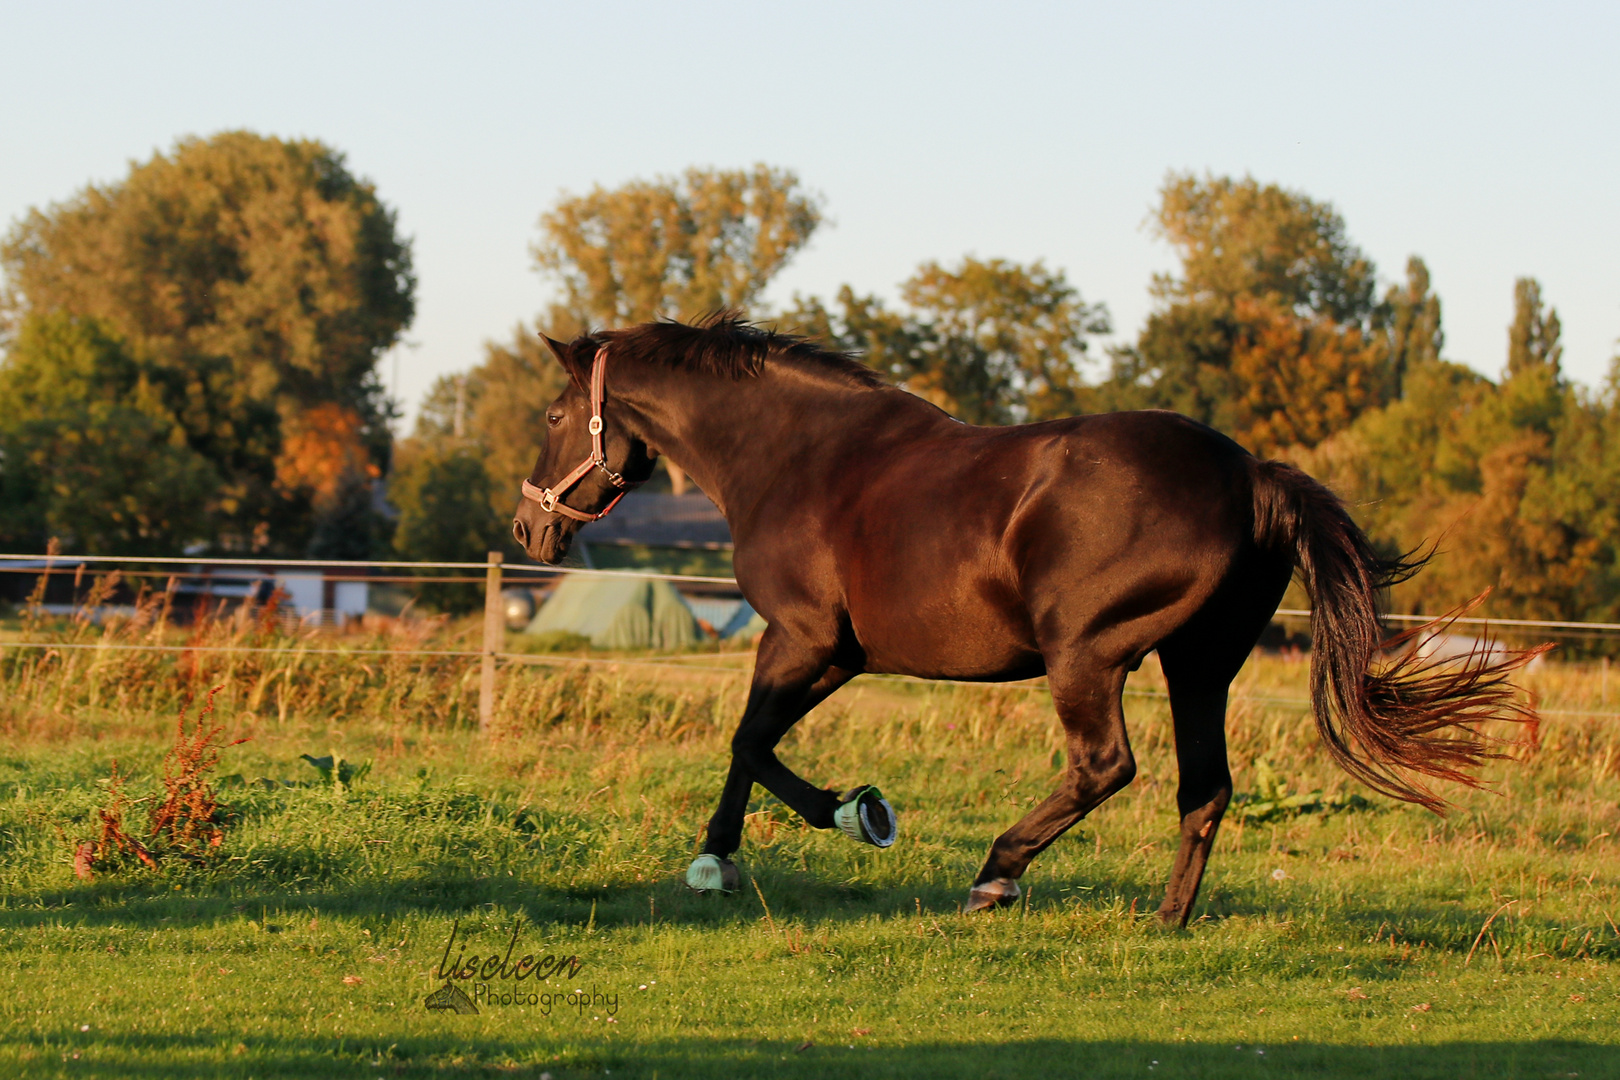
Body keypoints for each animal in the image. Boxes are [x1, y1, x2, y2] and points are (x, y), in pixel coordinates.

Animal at [511, 317, 1535, 926]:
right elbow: (747, 743)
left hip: (1087, 656)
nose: (528, 527)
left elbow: (752, 743)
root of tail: (1251, 476)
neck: (798, 455)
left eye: (555, 415)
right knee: (1203, 788)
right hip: (1201, 666)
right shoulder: (828, 654)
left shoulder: (805, 640)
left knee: (1106, 767)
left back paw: (996, 873)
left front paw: (856, 813)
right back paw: (1166, 921)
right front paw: (721, 858)